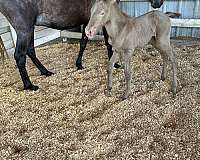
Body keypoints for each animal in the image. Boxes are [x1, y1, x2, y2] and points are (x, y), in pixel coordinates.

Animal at [0, 0, 164, 90]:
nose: (158, 3)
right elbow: (101, 42)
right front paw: (113, 63)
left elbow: (88, 42)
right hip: (24, 29)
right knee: (20, 56)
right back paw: (29, 85)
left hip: (30, 28)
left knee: (30, 50)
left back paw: (45, 71)